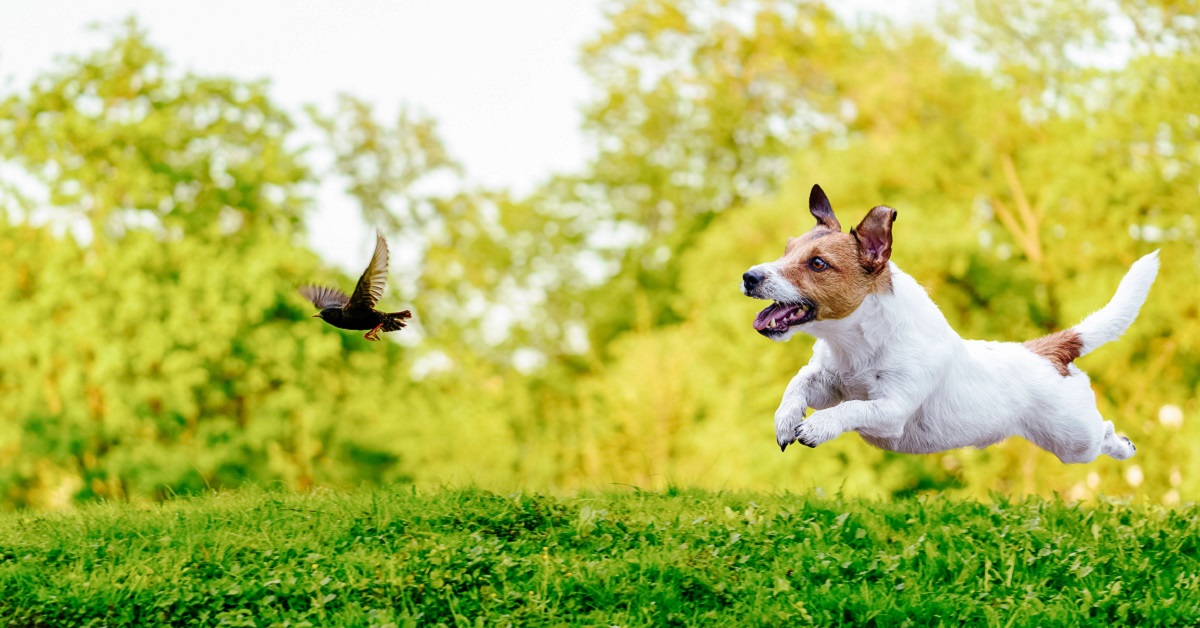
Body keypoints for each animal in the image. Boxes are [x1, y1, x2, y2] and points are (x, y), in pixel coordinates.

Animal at [744, 184, 1156, 463]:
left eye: (817, 263)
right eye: (787, 249)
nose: (749, 276)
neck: (856, 343)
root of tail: (1046, 350)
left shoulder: (892, 408)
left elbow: (851, 409)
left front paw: (818, 426)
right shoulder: (828, 381)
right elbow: (797, 385)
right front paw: (786, 419)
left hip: (1075, 439)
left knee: (1103, 434)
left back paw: (1123, 446)